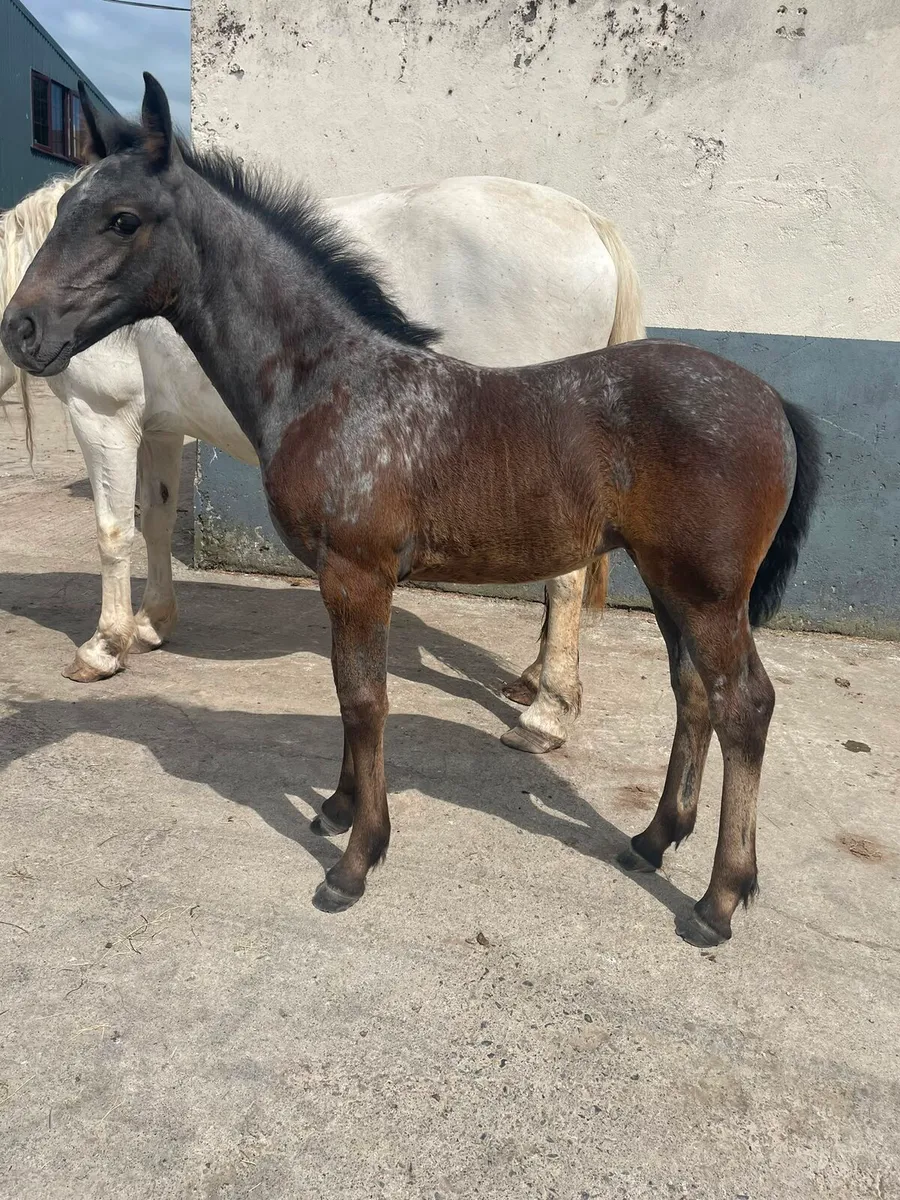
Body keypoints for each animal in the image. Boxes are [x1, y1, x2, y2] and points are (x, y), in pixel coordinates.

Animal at [0, 168, 645, 757]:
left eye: (114, 224)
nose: (22, 331)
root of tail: (588, 220)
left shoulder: (102, 416)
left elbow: (113, 534)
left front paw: (104, 646)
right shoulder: (158, 429)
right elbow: (154, 524)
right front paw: (152, 623)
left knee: (567, 576)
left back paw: (547, 715)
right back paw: (535, 681)